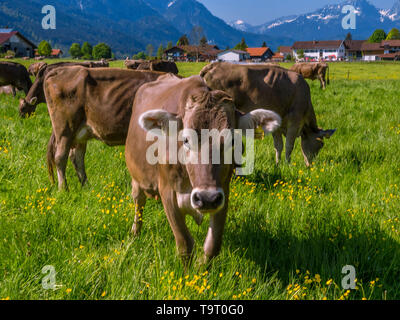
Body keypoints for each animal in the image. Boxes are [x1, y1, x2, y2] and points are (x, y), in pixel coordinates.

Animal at [125, 75, 282, 264]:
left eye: (232, 141)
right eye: (185, 139)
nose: (206, 198)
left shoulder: (223, 193)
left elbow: (212, 246)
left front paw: (201, 268)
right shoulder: (167, 192)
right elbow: (184, 244)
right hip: (136, 179)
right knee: (138, 202)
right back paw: (135, 233)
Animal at [202, 62, 336, 168]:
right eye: (321, 144)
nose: (310, 165)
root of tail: (213, 65)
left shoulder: (277, 124)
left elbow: (278, 145)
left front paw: (278, 164)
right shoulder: (295, 120)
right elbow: (289, 145)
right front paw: (288, 164)